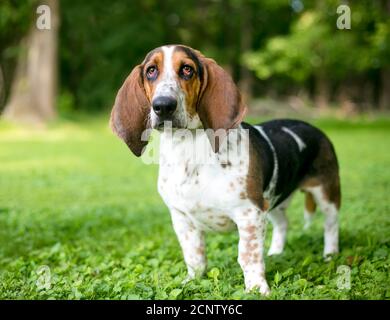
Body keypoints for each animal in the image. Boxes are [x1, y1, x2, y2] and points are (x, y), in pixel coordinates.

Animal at [110, 44, 342, 296]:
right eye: (151, 71)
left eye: (187, 70)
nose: (163, 105)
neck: (188, 148)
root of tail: (313, 127)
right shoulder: (182, 218)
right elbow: (194, 256)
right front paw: (191, 281)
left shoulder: (249, 214)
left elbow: (248, 257)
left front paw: (257, 289)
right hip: (272, 201)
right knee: (283, 223)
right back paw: (276, 253)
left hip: (326, 194)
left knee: (331, 225)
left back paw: (330, 255)